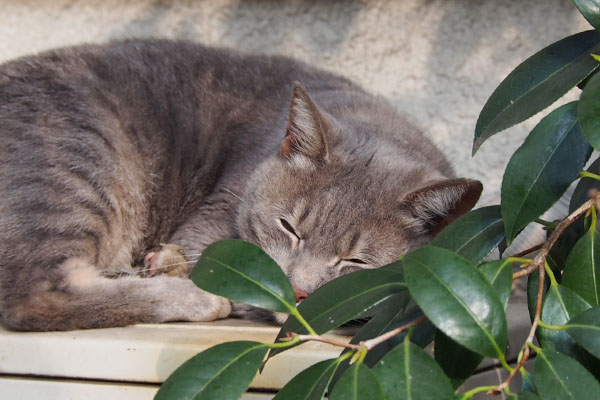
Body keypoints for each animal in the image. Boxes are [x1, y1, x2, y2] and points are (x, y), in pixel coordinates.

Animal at [0, 39, 480, 332]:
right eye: (289, 228)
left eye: (356, 262)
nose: (297, 291)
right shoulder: (210, 225)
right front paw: (173, 266)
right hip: (82, 164)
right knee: (34, 296)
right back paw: (193, 297)